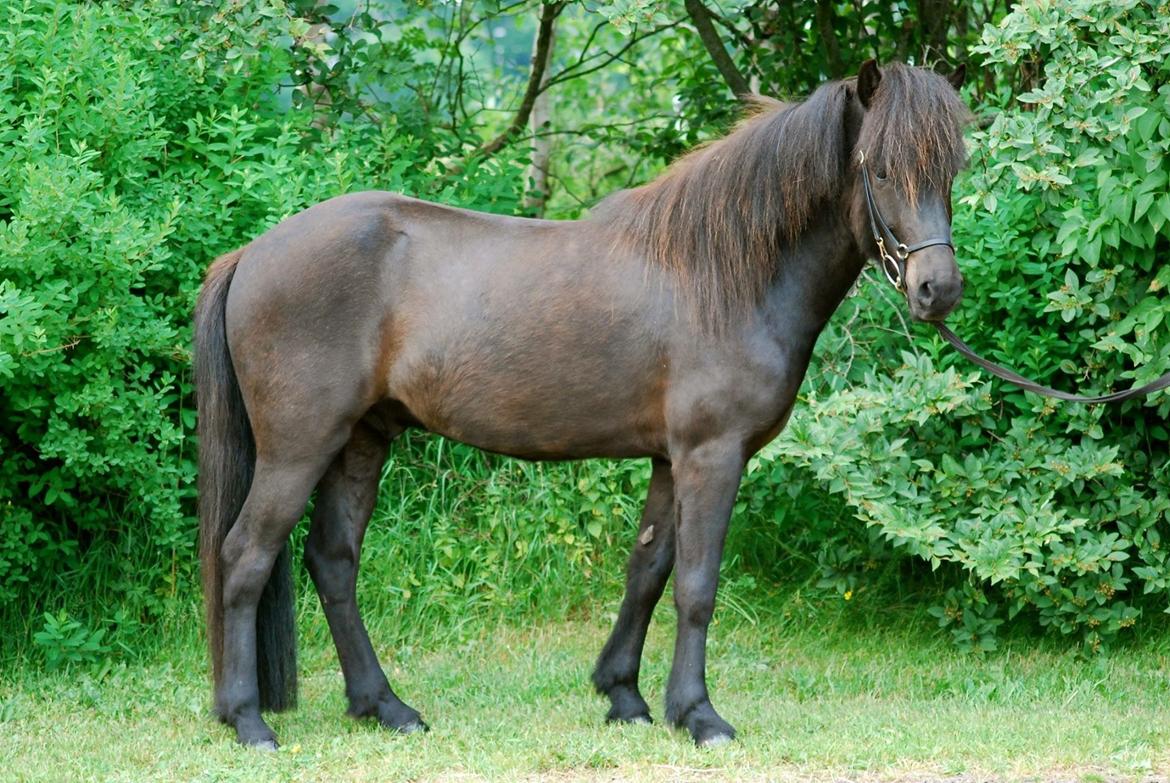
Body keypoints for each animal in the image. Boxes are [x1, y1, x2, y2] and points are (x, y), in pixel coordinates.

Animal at [196, 59, 973, 744]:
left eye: (950, 170)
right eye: (879, 168)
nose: (937, 290)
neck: (722, 274)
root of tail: (251, 255)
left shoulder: (670, 459)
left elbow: (647, 571)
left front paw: (624, 696)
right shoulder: (712, 454)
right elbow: (697, 585)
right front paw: (699, 714)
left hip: (361, 439)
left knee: (332, 561)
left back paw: (384, 706)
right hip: (299, 446)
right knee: (245, 556)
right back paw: (248, 720)